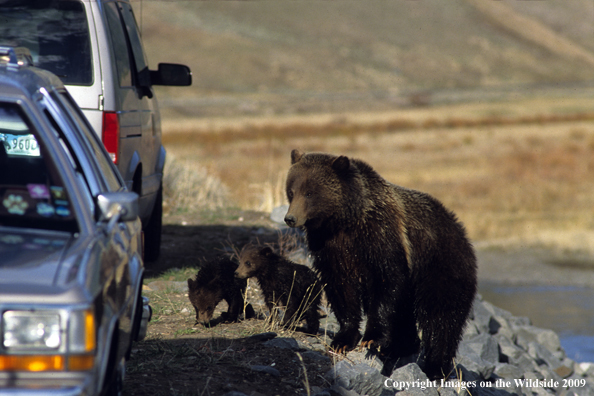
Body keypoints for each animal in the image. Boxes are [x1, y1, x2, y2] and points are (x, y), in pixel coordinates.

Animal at [284, 150, 476, 378]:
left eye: (310, 193)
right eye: (291, 190)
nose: (290, 218)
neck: (343, 222)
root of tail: (461, 231)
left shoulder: (380, 236)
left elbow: (386, 281)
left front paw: (371, 338)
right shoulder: (328, 247)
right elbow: (341, 288)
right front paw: (343, 339)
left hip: (441, 266)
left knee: (442, 317)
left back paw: (435, 366)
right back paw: (398, 348)